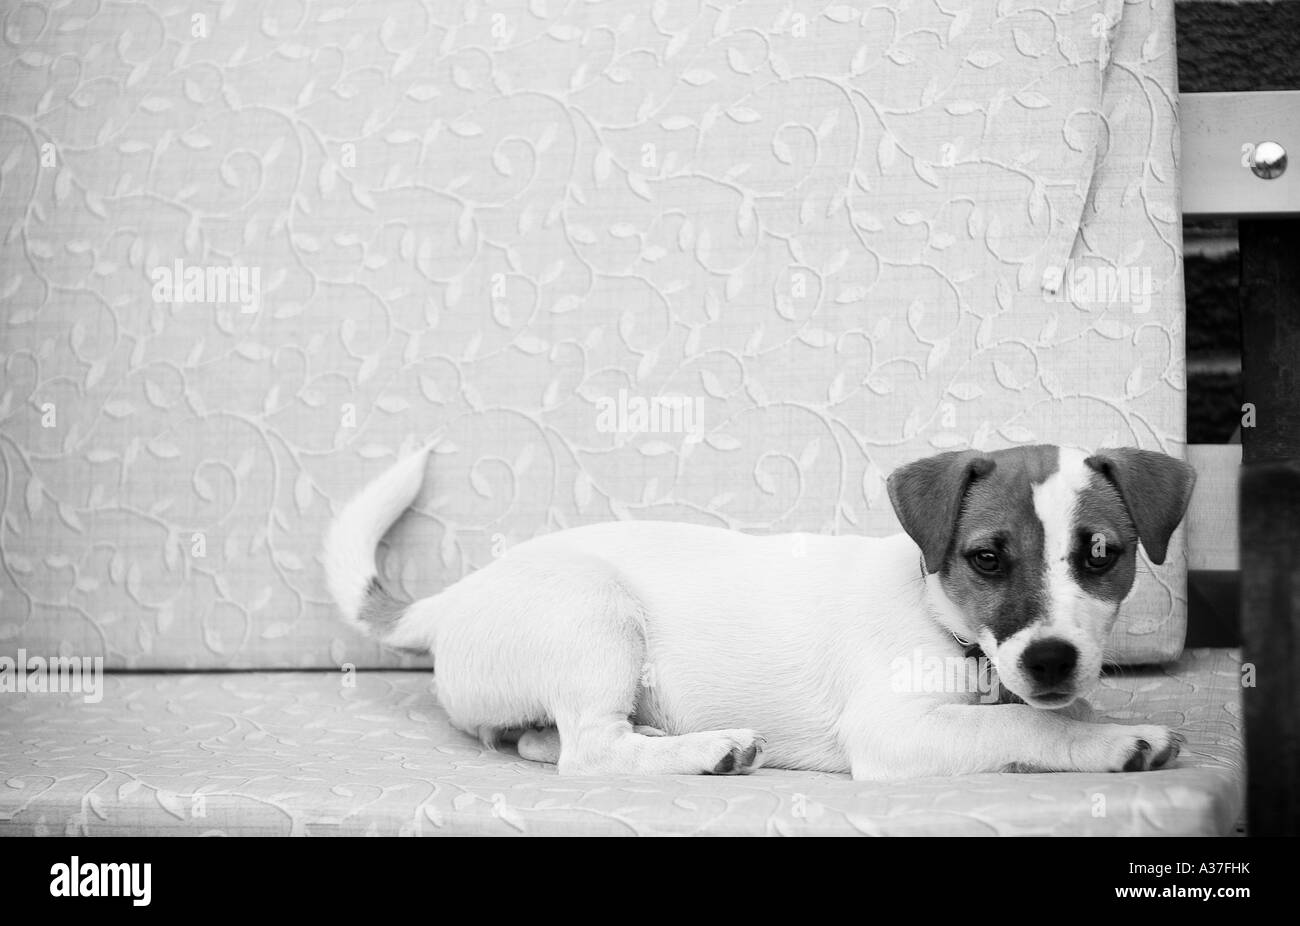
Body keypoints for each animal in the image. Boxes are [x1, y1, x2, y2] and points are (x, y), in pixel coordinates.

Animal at [327, 444, 1196, 775]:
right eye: (987, 558)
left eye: (1100, 556)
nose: (1051, 660)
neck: (946, 627)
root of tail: (453, 599)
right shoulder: (895, 731)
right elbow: (1028, 728)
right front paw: (1118, 742)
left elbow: (1053, 713)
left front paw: (1094, 719)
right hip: (595, 619)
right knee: (590, 750)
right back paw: (711, 748)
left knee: (547, 741)